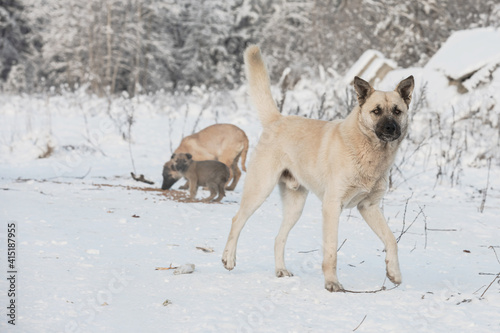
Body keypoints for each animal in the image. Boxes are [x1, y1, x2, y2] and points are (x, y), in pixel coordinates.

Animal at [223, 44, 414, 290]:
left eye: (397, 111)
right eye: (377, 111)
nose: (391, 128)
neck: (368, 152)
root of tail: (277, 119)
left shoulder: (369, 207)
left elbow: (391, 240)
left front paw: (394, 273)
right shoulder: (332, 206)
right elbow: (331, 250)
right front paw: (332, 283)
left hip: (295, 205)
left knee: (278, 238)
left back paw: (281, 270)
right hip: (260, 189)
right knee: (237, 220)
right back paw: (229, 258)